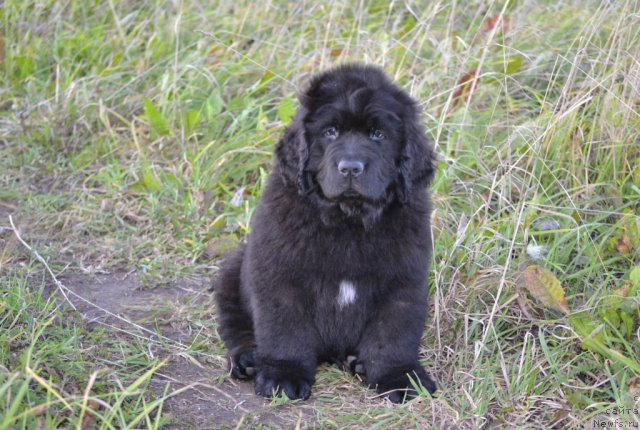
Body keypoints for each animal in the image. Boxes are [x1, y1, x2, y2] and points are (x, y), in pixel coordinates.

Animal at [212, 63, 438, 404]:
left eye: (378, 134)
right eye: (330, 132)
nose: (350, 167)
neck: (347, 221)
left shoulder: (402, 281)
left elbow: (393, 334)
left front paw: (398, 377)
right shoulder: (279, 275)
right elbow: (286, 330)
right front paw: (284, 375)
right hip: (232, 272)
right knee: (235, 324)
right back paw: (248, 359)